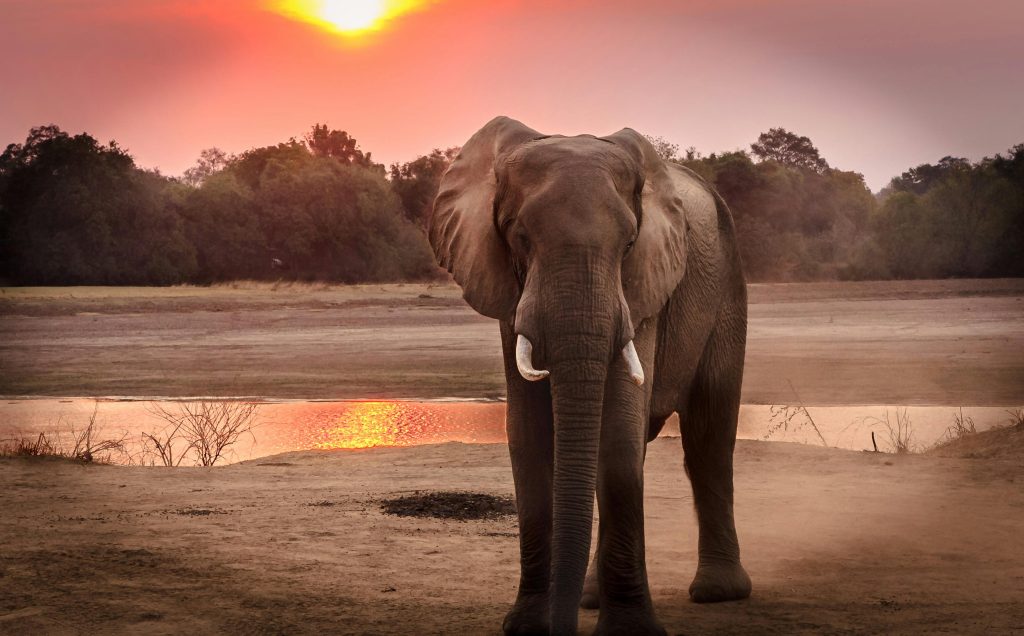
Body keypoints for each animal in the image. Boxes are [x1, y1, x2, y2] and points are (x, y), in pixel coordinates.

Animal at [428, 116, 751, 635]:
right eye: (519, 237)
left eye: (629, 244)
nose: (559, 627)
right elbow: (529, 435)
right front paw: (528, 626)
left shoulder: (643, 287)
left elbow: (617, 434)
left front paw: (630, 632)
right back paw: (592, 598)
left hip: (727, 286)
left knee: (709, 436)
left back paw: (718, 593)